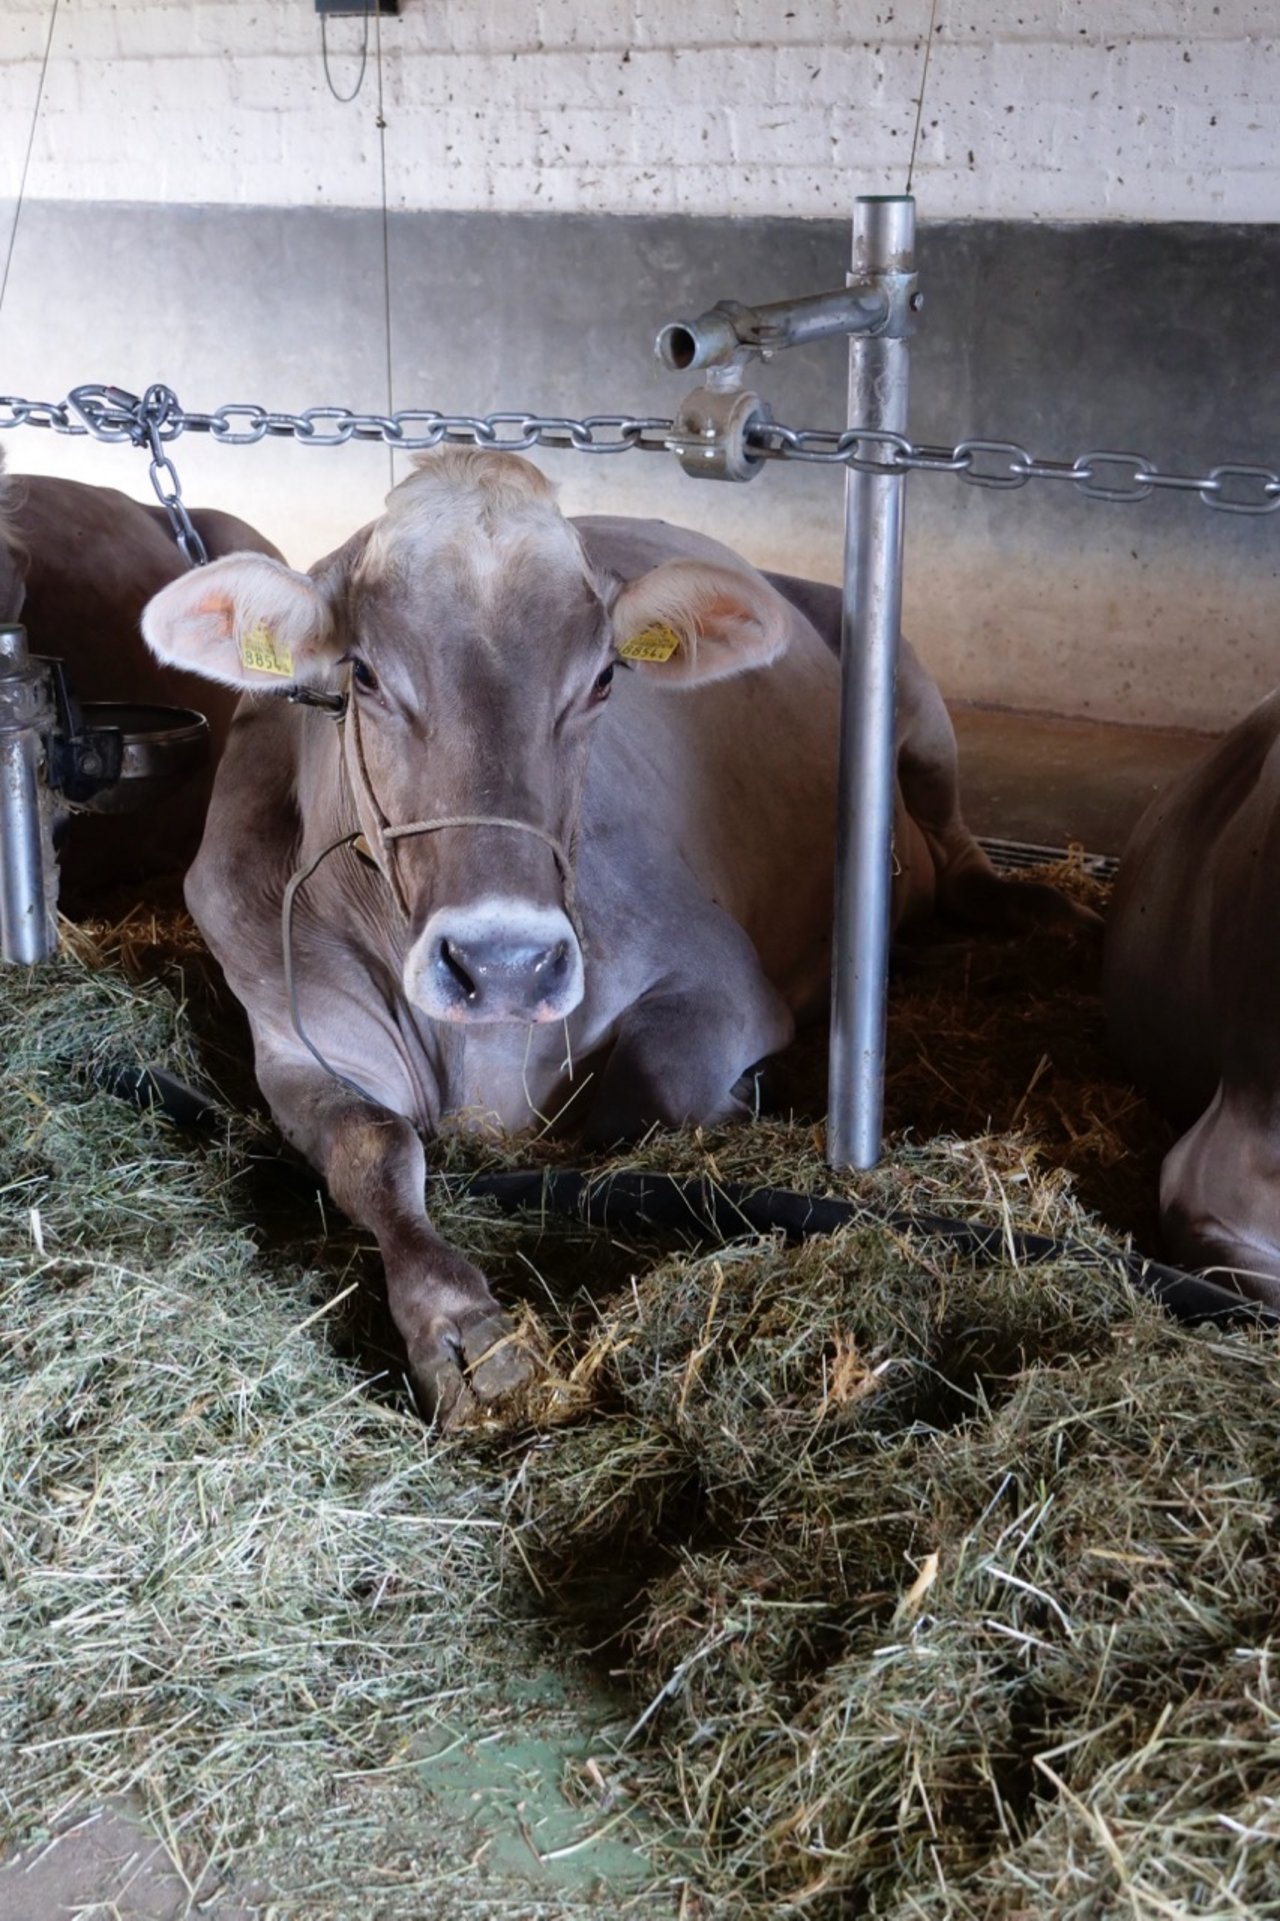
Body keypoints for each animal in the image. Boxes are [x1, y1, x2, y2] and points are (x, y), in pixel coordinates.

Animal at [142, 445, 1083, 1413]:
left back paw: (1039, 908)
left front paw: (743, 1096)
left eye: (602, 679)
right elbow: (374, 1149)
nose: (505, 963)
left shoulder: (719, 975)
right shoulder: (298, 1038)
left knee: (954, 834)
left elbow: (644, 1101)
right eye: (362, 674)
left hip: (917, 703)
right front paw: (461, 1324)